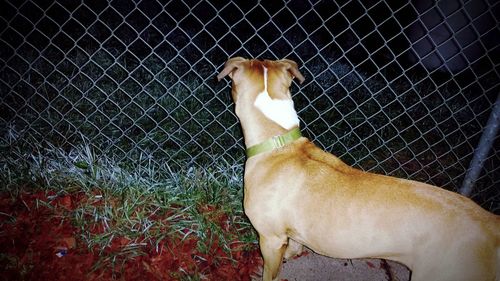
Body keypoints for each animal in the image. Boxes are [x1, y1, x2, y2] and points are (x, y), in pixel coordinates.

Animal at [217, 57, 498, 280]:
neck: (279, 141)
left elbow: (270, 272)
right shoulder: (288, 233)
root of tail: (489, 227)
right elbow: (296, 244)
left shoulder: (270, 239)